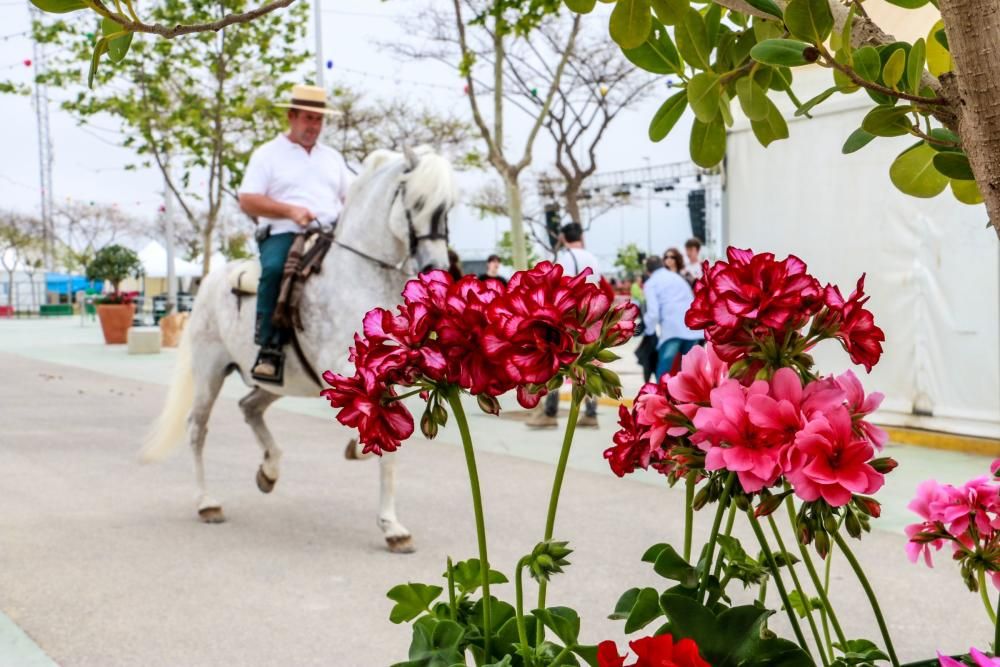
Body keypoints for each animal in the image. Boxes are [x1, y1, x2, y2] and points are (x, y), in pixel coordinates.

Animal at [140, 147, 458, 552]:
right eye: (415, 201)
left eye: (448, 206)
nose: (436, 267)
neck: (361, 274)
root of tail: (210, 278)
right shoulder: (345, 368)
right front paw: (387, 517)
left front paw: (392, 525)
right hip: (209, 373)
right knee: (198, 428)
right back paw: (208, 502)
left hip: (280, 380)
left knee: (249, 407)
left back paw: (269, 470)